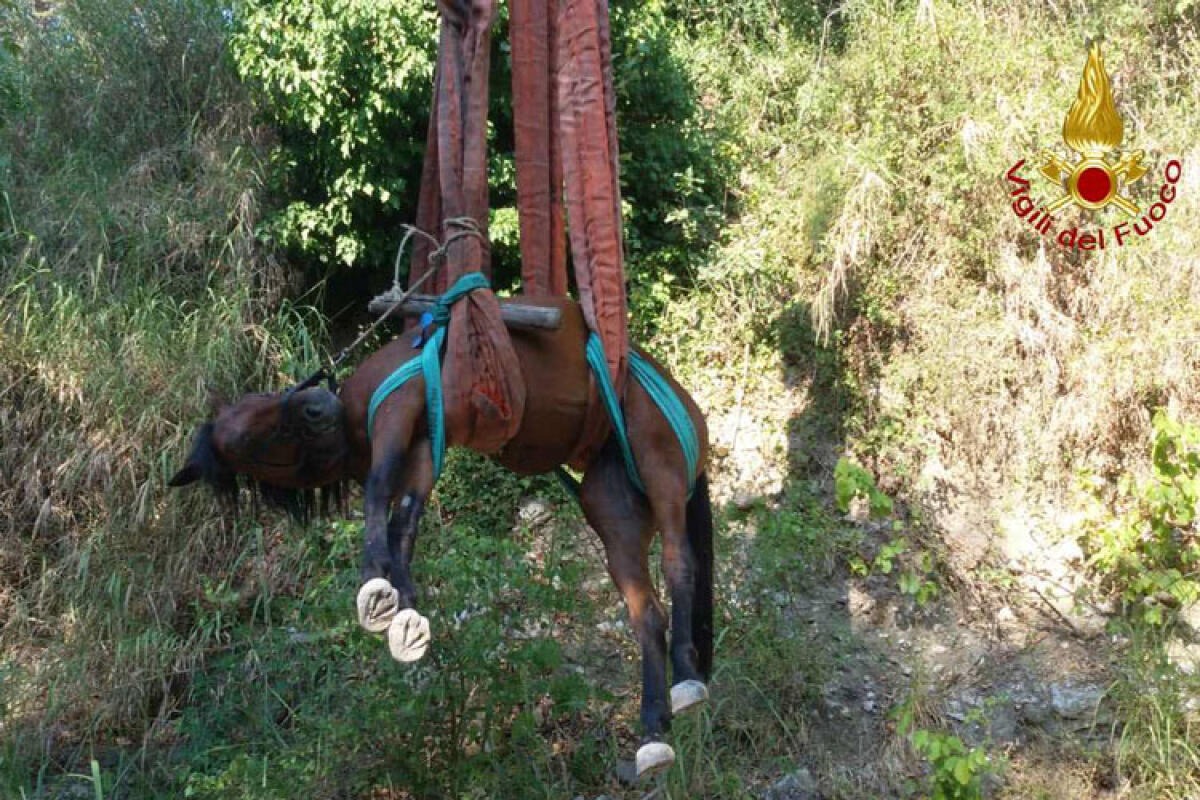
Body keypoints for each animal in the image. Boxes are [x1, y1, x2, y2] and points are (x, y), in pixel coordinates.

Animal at [169, 295, 713, 779]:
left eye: (254, 409)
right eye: (256, 441)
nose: (315, 409)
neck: (352, 427)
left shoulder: (399, 411)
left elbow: (379, 493)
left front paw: (375, 584)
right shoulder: (423, 445)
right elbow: (403, 523)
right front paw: (403, 612)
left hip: (660, 460)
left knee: (679, 564)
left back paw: (687, 681)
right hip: (613, 507)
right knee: (646, 612)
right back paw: (654, 731)